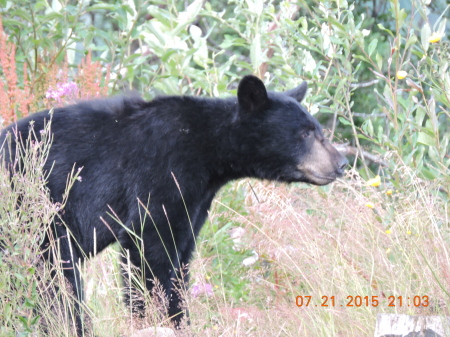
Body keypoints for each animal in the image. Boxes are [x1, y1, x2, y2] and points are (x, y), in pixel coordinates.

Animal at [0, 75, 348, 330]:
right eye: (305, 133)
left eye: (318, 129)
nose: (341, 163)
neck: (209, 150)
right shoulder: (163, 172)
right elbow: (151, 248)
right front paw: (158, 317)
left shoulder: (196, 198)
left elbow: (181, 255)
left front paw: (179, 318)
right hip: (32, 210)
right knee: (54, 279)